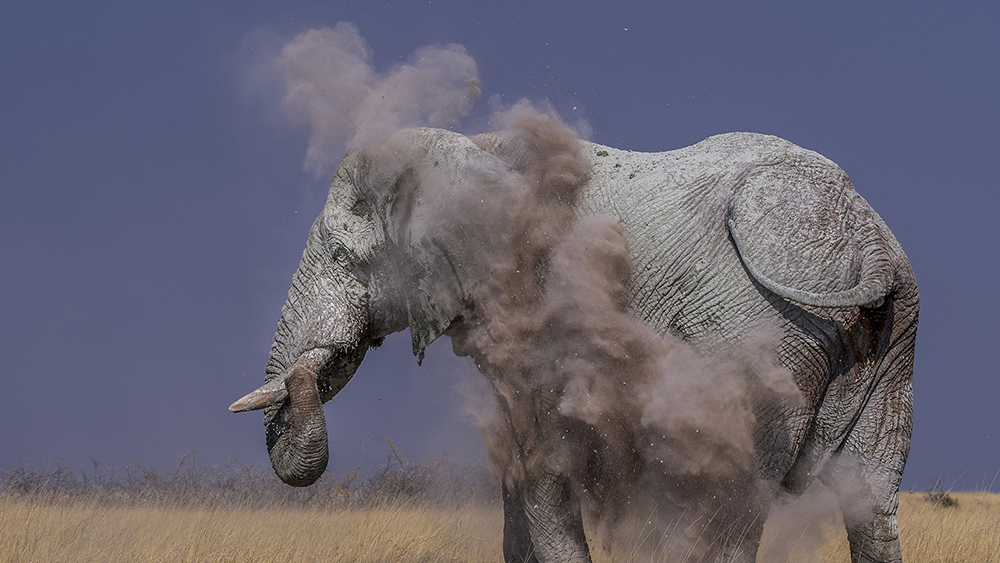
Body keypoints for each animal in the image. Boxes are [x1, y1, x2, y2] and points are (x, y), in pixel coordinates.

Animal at [231, 116, 918, 563]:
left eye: (347, 259)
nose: (298, 376)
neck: (467, 146)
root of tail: (868, 239)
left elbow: (541, 452)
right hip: (889, 340)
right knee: (870, 499)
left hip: (763, 330)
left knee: (727, 498)